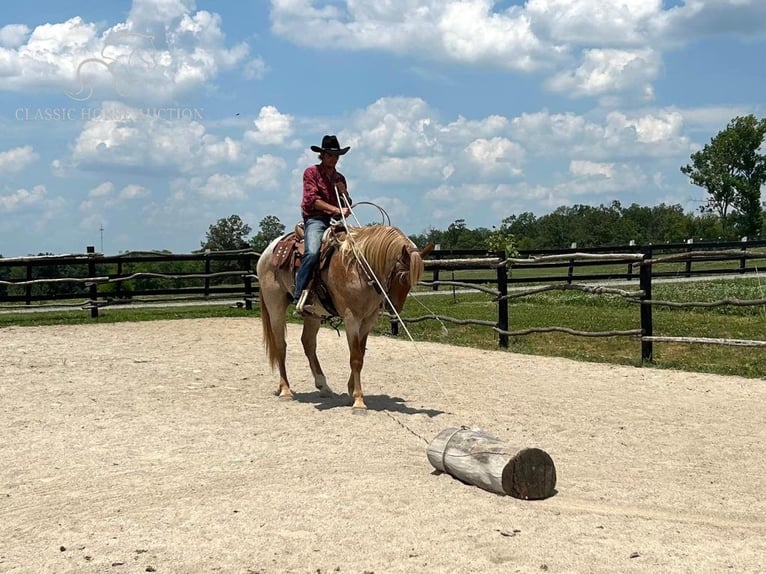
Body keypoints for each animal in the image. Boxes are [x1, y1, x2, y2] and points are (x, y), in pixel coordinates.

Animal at [255, 226, 428, 414]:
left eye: (412, 280)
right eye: (401, 276)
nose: (394, 307)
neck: (357, 268)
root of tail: (269, 250)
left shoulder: (368, 320)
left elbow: (360, 354)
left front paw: (351, 392)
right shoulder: (351, 319)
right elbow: (355, 358)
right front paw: (358, 401)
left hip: (313, 314)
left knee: (308, 343)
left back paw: (323, 386)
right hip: (275, 306)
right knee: (281, 345)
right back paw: (285, 390)